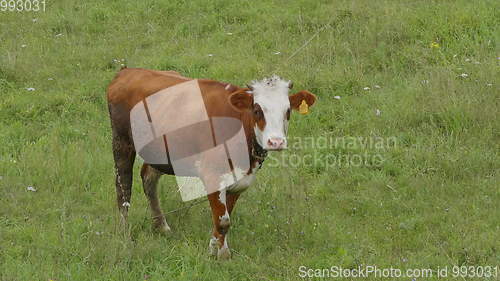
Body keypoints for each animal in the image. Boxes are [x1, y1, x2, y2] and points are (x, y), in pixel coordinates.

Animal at [106, 68, 316, 258]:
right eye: (257, 110)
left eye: (287, 111)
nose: (276, 142)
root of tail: (128, 72)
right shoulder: (212, 175)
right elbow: (223, 221)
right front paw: (221, 255)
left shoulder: (238, 180)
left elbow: (223, 217)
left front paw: (216, 248)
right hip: (122, 141)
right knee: (123, 187)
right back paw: (124, 233)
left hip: (159, 151)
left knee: (148, 178)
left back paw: (162, 227)